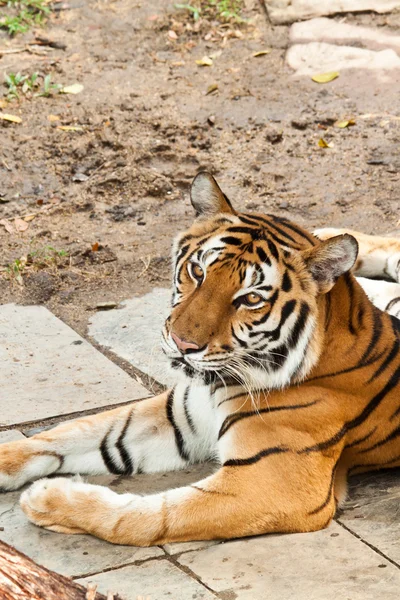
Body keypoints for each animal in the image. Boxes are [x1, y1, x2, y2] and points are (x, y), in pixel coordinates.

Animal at [0, 171, 400, 548]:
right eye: (197, 271)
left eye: (251, 299)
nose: (182, 343)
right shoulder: (178, 418)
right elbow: (75, 431)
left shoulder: (274, 485)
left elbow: (148, 516)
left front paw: (48, 498)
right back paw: (329, 234)